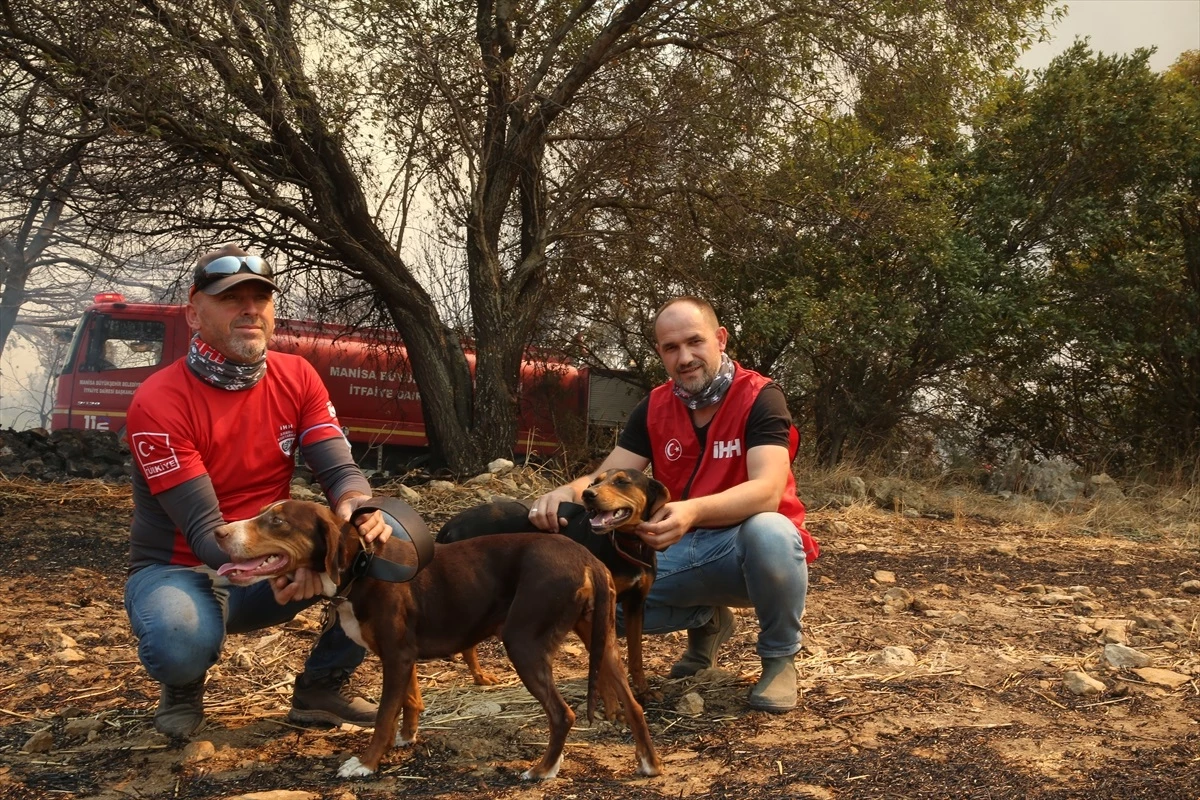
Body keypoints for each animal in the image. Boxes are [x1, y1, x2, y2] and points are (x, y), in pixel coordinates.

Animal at [216, 501, 667, 782]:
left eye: (278, 521)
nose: (220, 532)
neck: (363, 566)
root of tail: (587, 558)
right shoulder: (404, 657)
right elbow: (410, 702)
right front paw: (406, 738)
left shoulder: (397, 657)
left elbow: (383, 716)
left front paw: (366, 764)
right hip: (600, 640)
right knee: (632, 704)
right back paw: (649, 763)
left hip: (524, 643)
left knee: (562, 714)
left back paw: (542, 770)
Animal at [439, 465, 672, 695]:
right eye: (595, 482)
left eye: (622, 482)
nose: (588, 494)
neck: (626, 544)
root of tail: (449, 526)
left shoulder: (636, 604)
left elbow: (636, 653)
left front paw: (643, 690)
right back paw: (479, 676)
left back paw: (479, 676)